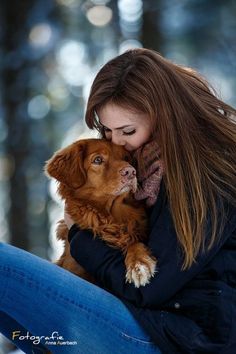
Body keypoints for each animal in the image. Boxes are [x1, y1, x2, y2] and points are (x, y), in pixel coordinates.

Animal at [45, 138, 157, 288]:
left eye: (126, 158)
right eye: (98, 160)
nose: (130, 171)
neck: (111, 217)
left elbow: (134, 243)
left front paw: (139, 264)